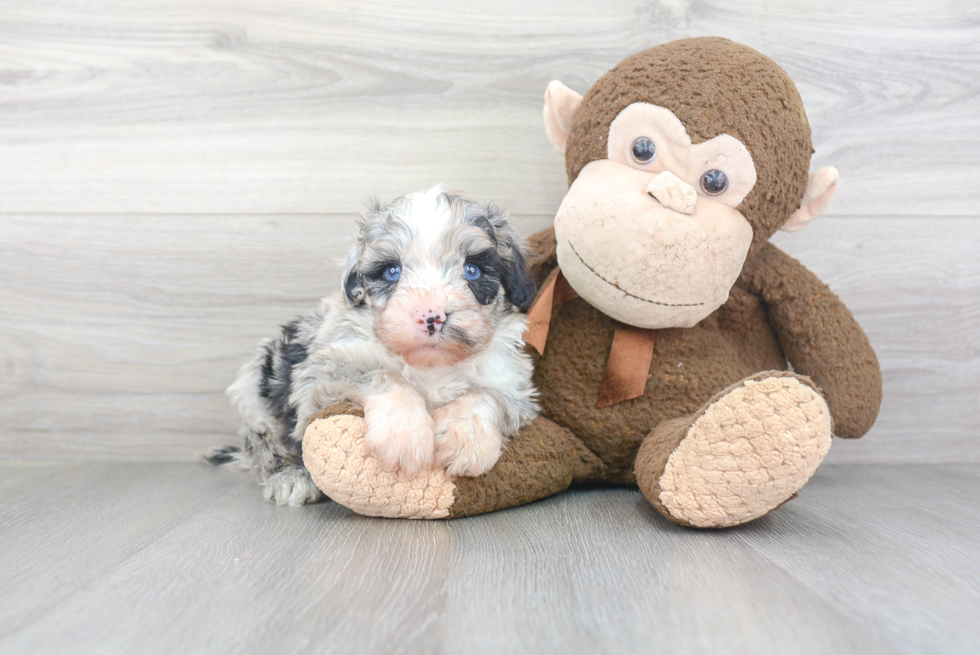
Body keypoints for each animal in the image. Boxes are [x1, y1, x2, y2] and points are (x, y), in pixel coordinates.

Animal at [210, 186, 540, 508]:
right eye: (391, 271)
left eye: (472, 270)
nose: (431, 316)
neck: (429, 365)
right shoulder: (324, 371)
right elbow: (384, 375)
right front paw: (404, 433)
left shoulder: (513, 386)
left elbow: (485, 395)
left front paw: (464, 439)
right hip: (256, 394)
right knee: (267, 447)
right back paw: (290, 478)